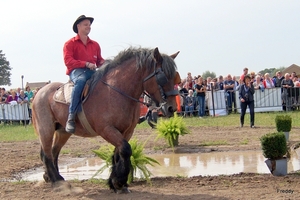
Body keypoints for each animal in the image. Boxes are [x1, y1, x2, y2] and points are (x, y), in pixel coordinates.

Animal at [31, 47, 180, 192]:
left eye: (175, 78)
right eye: (162, 77)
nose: (171, 108)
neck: (115, 92)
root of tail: (40, 92)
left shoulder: (126, 131)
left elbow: (118, 153)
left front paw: (116, 183)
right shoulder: (106, 129)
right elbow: (125, 149)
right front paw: (119, 181)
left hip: (62, 132)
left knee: (54, 152)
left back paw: (52, 177)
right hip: (46, 129)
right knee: (46, 154)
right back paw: (58, 182)